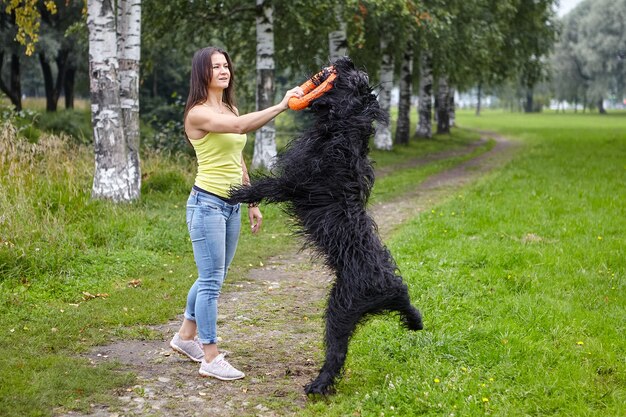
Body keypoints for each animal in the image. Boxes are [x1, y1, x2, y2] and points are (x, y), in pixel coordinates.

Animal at [227, 56, 422, 394]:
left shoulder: (294, 182)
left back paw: (317, 386)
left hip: (339, 310)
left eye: (356, 77)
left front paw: (236, 193)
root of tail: (386, 288)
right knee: (407, 311)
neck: (341, 127)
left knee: (336, 354)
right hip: (377, 302)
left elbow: (264, 187)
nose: (346, 59)